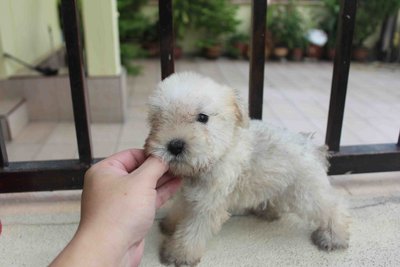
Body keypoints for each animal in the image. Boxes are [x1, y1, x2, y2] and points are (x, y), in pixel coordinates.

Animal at [145, 72, 350, 266]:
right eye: (158, 118)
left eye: (203, 117)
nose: (174, 146)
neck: (217, 156)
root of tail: (312, 146)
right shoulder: (189, 194)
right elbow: (180, 208)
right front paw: (171, 224)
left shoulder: (207, 206)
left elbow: (191, 233)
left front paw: (179, 254)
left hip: (305, 194)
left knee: (333, 207)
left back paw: (333, 236)